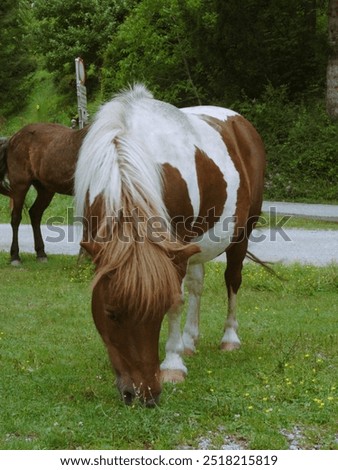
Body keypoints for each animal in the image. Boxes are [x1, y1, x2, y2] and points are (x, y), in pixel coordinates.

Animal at [0, 123, 88, 264]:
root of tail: (13, 137)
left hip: (46, 190)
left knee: (35, 214)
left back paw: (41, 253)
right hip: (20, 186)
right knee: (16, 218)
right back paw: (15, 256)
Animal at [75, 85, 266, 408]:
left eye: (158, 311)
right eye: (111, 313)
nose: (144, 395)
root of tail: (241, 123)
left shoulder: (175, 249)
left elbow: (176, 298)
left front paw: (173, 366)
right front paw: (180, 350)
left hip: (241, 234)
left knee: (232, 280)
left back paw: (229, 338)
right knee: (197, 284)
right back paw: (190, 340)